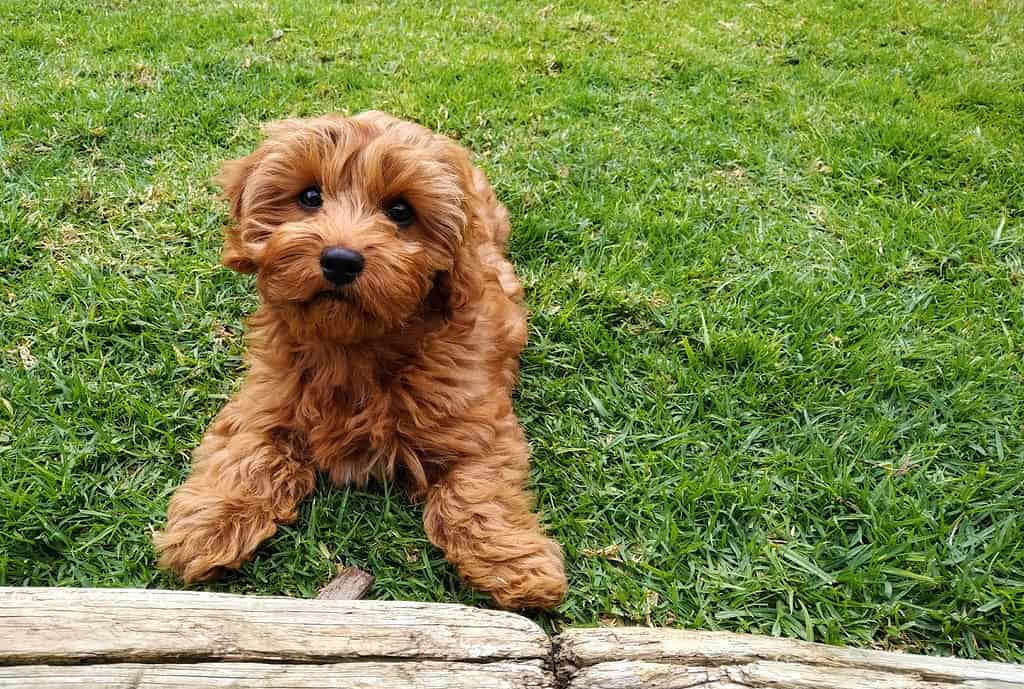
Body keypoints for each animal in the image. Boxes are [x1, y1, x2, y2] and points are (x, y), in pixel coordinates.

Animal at [151, 109, 569, 606]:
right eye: (310, 196)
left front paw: (514, 560)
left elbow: (479, 489)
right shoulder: (262, 399)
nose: (340, 259)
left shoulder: (478, 422)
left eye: (401, 211)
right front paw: (208, 523)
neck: (351, 348)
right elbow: (244, 453)